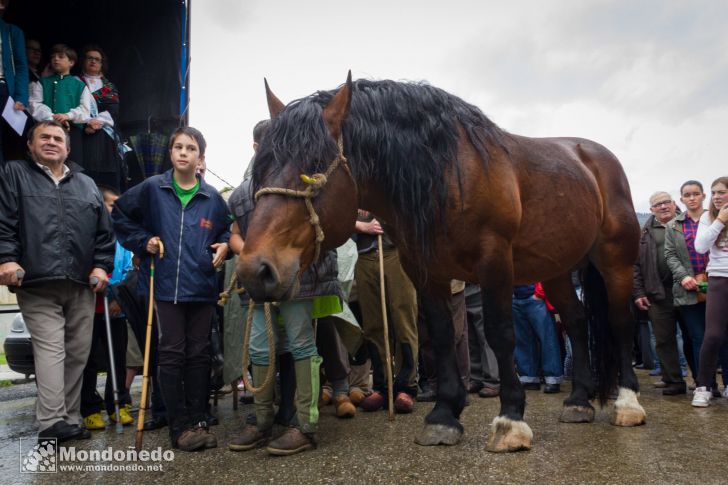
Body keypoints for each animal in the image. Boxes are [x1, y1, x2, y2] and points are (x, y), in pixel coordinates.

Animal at [237, 72, 644, 450]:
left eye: (314, 166)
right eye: (262, 167)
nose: (255, 271)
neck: (448, 173)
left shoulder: (495, 261)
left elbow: (500, 334)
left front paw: (511, 420)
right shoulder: (425, 271)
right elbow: (442, 334)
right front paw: (444, 416)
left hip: (615, 260)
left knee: (620, 322)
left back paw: (627, 403)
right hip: (557, 269)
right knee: (576, 321)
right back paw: (579, 401)